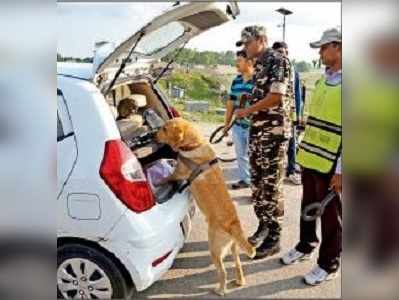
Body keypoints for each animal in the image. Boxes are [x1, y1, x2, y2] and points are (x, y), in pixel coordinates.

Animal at [156, 118, 256, 296]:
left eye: (165, 129)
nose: (154, 135)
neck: (194, 144)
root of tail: (233, 224)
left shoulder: (178, 173)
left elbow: (168, 177)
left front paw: (157, 181)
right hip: (233, 248)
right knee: (238, 265)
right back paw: (239, 281)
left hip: (215, 250)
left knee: (223, 272)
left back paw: (220, 290)